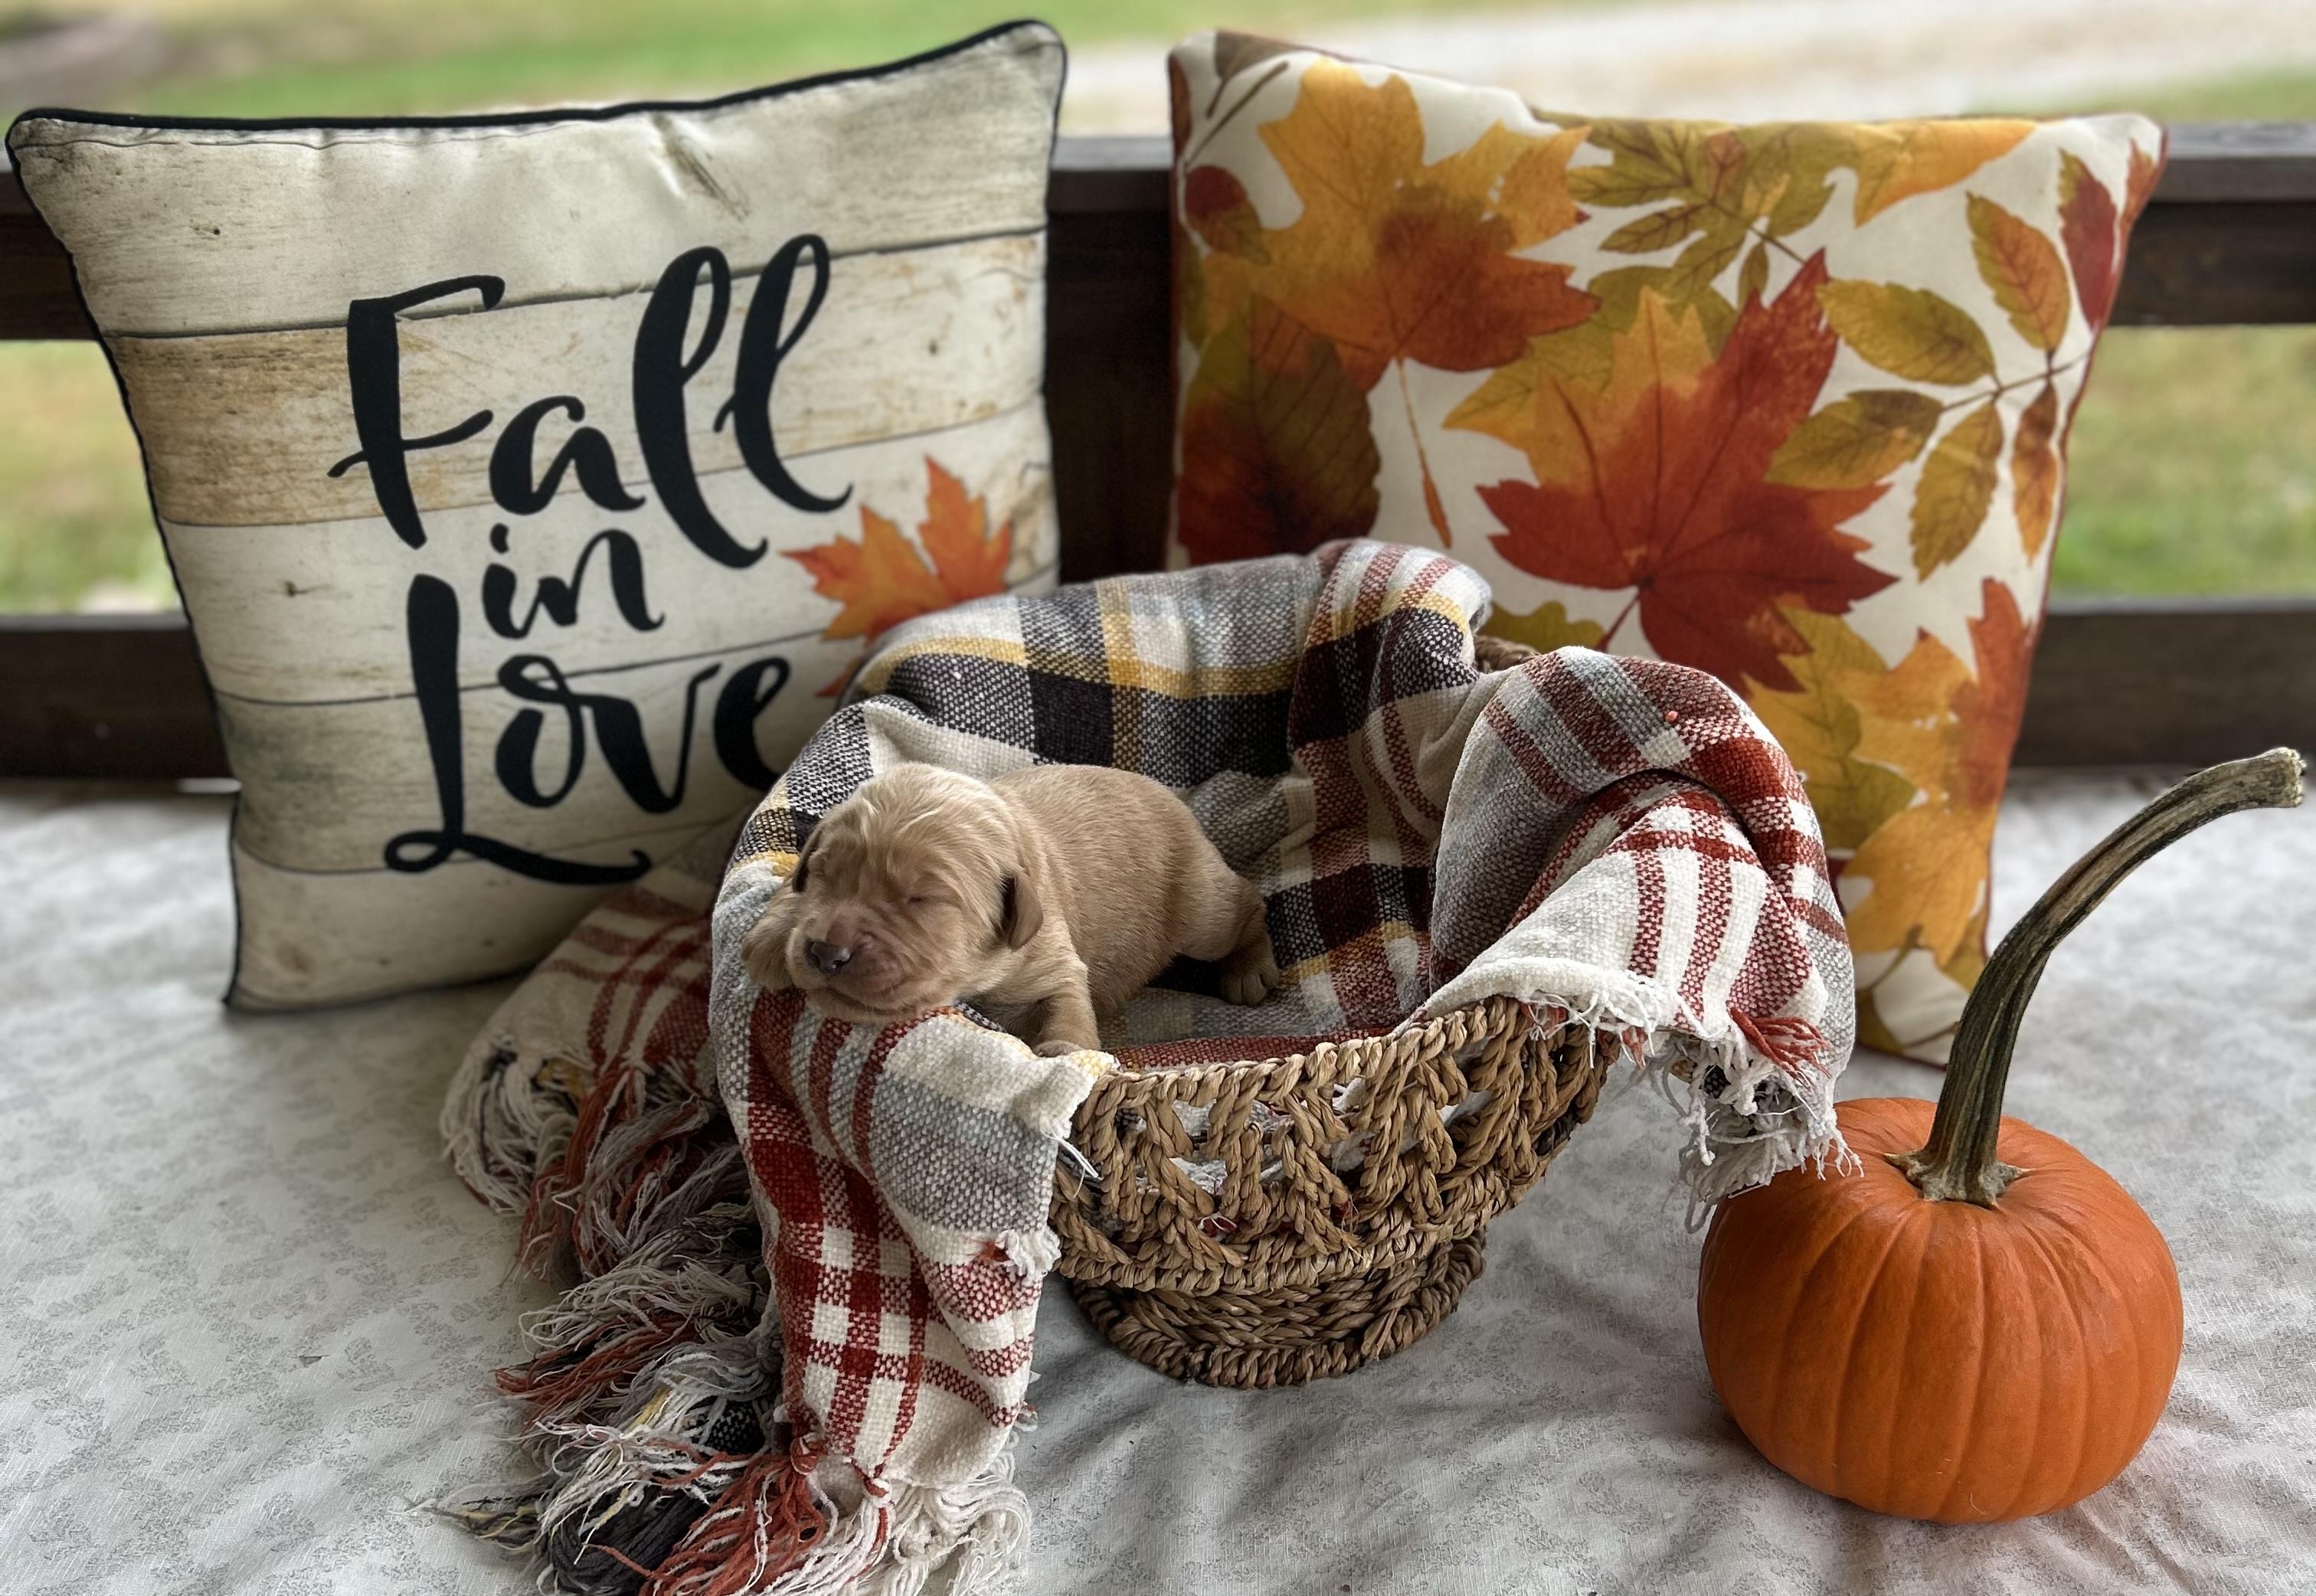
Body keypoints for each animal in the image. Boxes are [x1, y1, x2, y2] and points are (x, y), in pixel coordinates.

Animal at [739, 763, 1280, 1055]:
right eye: (824, 874)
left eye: (922, 899)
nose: (826, 954)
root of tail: (1172, 796)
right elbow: (791, 884)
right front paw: (771, 937)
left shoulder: (1050, 955)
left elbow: (1067, 998)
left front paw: (1065, 1048)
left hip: (1203, 913)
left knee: (1248, 905)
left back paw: (1250, 970)